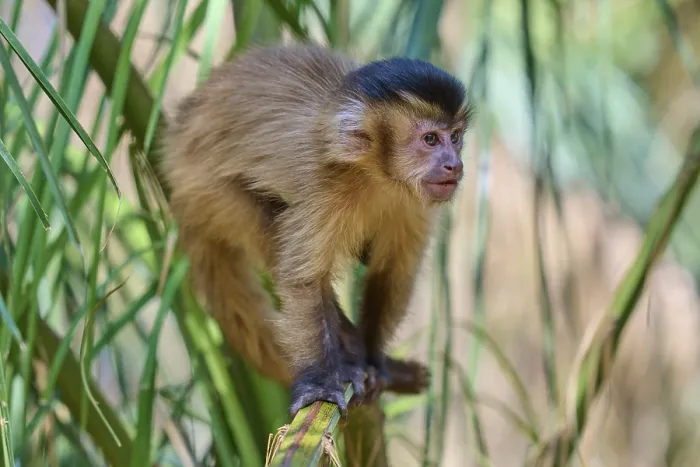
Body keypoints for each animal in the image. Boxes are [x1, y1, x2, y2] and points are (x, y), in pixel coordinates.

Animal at [159, 44, 472, 418]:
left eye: (455, 137)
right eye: (430, 139)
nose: (454, 164)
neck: (374, 173)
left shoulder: (415, 203)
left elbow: (391, 274)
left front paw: (374, 361)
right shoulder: (324, 184)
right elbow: (304, 281)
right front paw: (320, 382)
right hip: (207, 192)